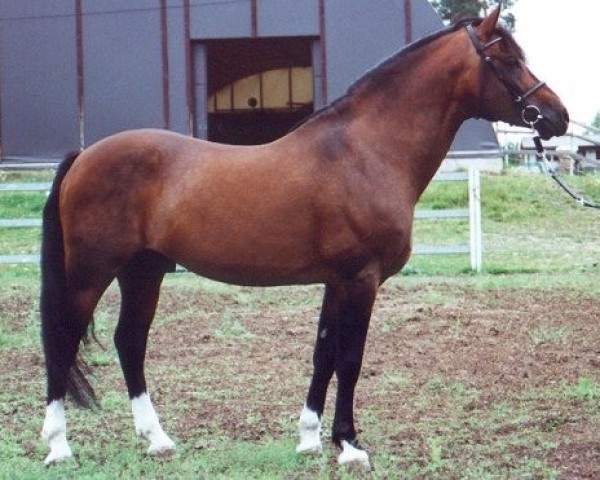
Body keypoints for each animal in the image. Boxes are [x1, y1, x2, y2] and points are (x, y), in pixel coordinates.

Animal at [41, 9, 568, 468]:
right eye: (507, 60)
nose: (557, 116)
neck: (364, 152)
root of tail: (84, 156)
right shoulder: (361, 279)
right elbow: (350, 358)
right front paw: (350, 446)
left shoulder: (337, 281)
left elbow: (324, 355)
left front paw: (311, 438)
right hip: (91, 273)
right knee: (63, 340)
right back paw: (59, 447)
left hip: (144, 270)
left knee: (129, 341)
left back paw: (158, 440)